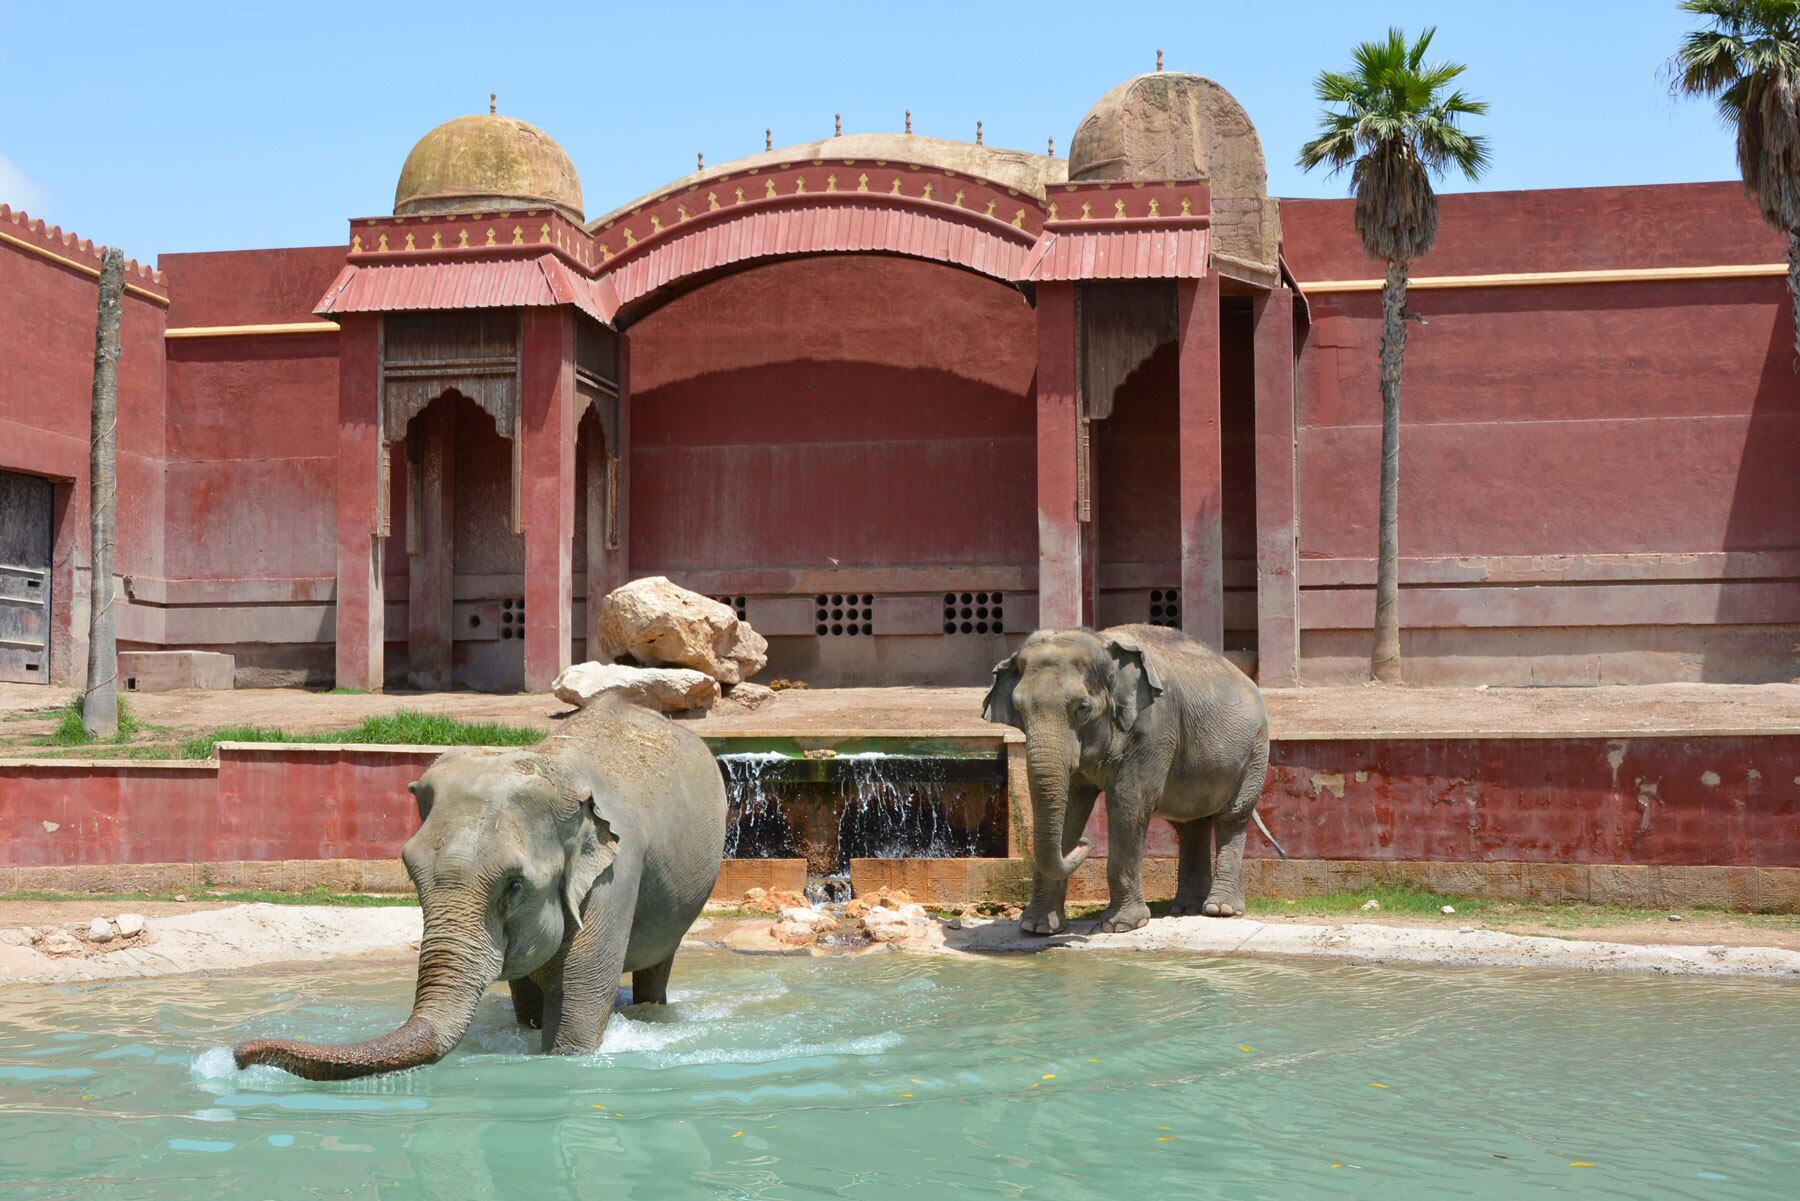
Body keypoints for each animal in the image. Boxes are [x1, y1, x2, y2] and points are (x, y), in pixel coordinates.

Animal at [233, 697, 727, 1080]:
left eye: (515, 885)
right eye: (410, 872)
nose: (238, 1054)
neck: (554, 766)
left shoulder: (615, 878)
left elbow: (580, 1003)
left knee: (657, 966)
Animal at [982, 623, 1273, 935]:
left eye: (1082, 708)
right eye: (1019, 709)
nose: (1087, 843)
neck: (1100, 641)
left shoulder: (1153, 728)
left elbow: (1128, 803)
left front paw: (1122, 925)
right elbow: (1070, 807)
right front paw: (1037, 928)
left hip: (1256, 752)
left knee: (1233, 817)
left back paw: (1220, 909)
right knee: (1191, 824)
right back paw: (1185, 909)